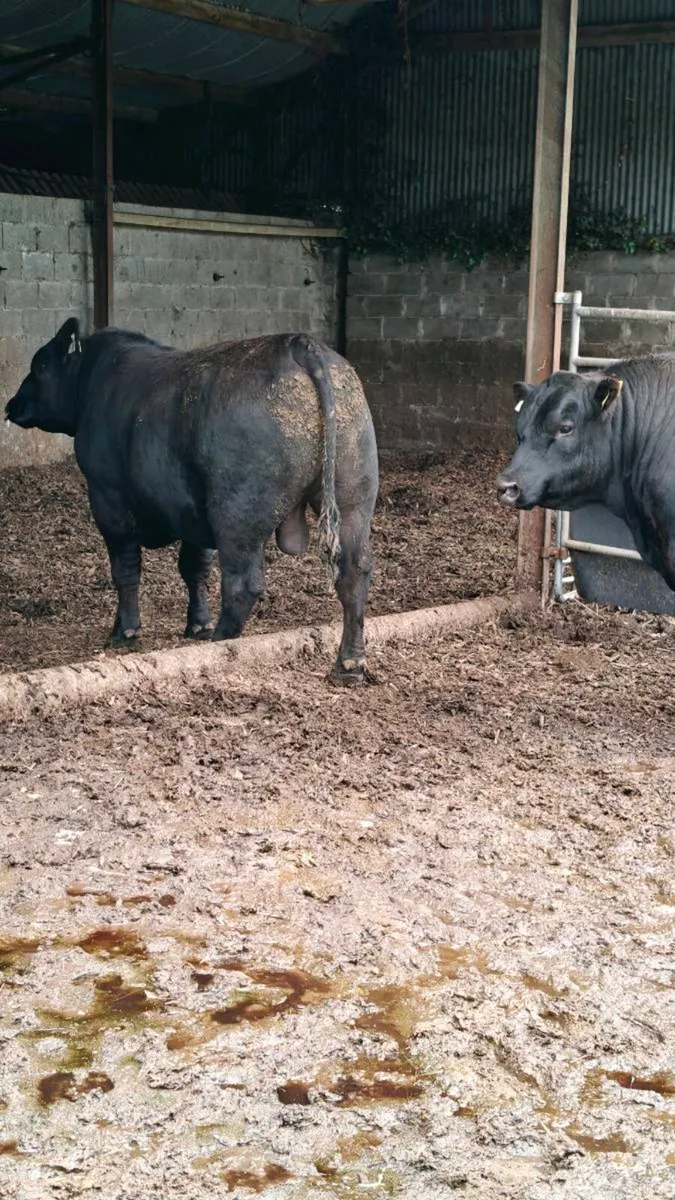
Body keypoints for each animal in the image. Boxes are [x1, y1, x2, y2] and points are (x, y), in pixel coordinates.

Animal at [6, 318, 379, 683]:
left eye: (40, 365)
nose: (11, 404)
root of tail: (298, 343)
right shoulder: (194, 514)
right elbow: (194, 568)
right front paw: (198, 623)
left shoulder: (108, 501)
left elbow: (126, 569)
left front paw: (125, 630)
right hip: (352, 503)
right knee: (353, 573)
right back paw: (349, 664)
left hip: (236, 513)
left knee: (243, 583)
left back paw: (221, 642)